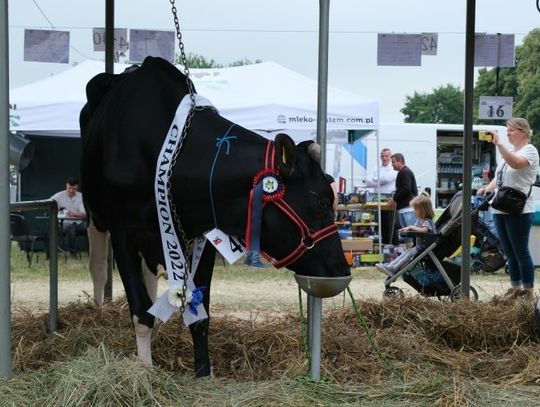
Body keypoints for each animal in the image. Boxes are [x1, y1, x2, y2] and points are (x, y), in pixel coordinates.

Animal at [80, 56, 350, 376]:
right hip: (96, 217)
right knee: (98, 267)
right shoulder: (123, 231)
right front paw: (145, 371)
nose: (342, 269)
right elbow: (140, 312)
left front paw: (203, 373)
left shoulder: (205, 233)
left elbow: (200, 315)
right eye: (321, 201)